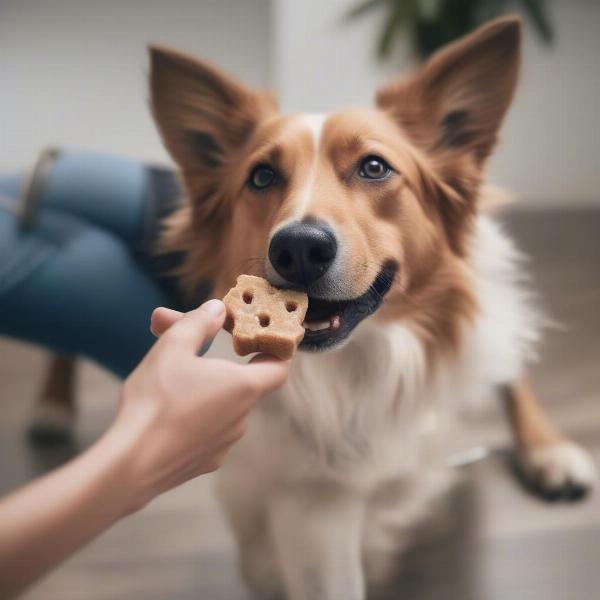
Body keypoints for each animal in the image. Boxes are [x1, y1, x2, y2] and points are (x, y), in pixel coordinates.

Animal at [149, 17, 596, 600]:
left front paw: (548, 450)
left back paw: (551, 453)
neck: (369, 360)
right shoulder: (314, 503)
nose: (298, 248)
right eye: (262, 176)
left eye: (374, 166)